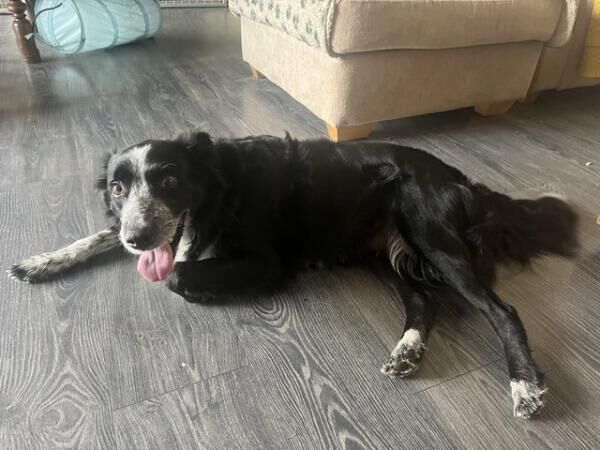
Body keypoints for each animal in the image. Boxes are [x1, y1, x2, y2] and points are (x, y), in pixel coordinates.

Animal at [7, 130, 580, 418]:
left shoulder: (266, 262)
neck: (220, 186)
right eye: (118, 188)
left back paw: (524, 385)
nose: (139, 238)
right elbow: (97, 236)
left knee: (502, 310)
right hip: (381, 255)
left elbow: (179, 275)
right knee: (425, 301)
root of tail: (464, 179)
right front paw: (42, 261)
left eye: (169, 180)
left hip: (433, 241)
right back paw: (408, 351)